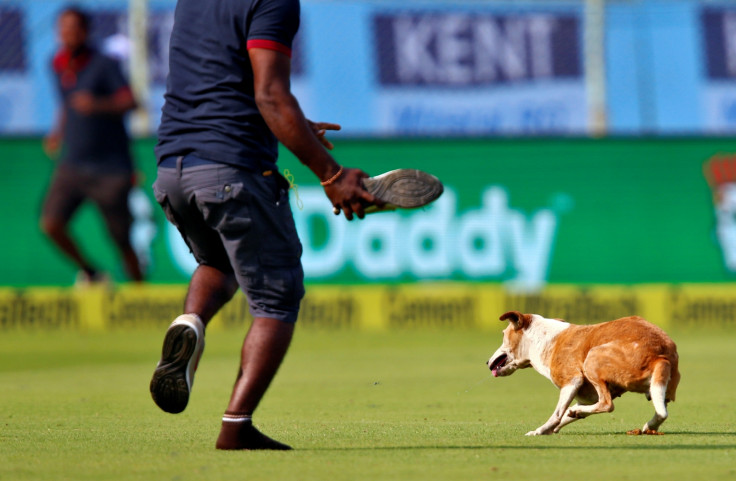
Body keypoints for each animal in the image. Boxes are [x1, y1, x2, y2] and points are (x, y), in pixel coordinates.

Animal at [488, 312, 680, 436]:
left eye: (504, 334)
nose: (487, 362)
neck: (544, 339)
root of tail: (660, 355)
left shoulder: (572, 381)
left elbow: (557, 413)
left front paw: (540, 430)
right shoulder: (586, 396)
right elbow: (564, 414)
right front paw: (554, 426)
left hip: (592, 359)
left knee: (607, 404)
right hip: (659, 390)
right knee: (662, 413)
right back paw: (649, 426)